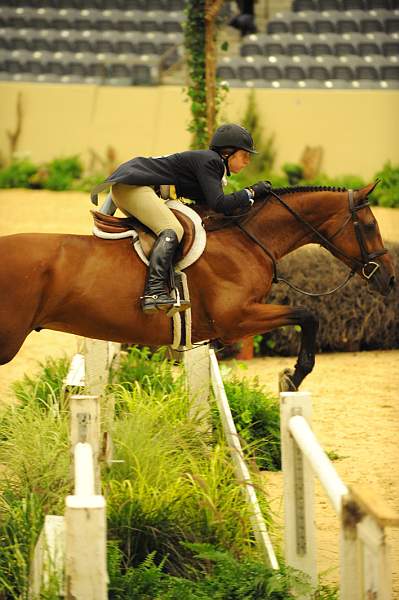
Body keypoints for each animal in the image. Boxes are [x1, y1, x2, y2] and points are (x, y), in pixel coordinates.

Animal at [0, 183, 394, 390]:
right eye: (370, 225)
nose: (389, 279)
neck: (245, 240)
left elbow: (306, 316)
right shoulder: (236, 319)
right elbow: (308, 315)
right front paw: (293, 377)